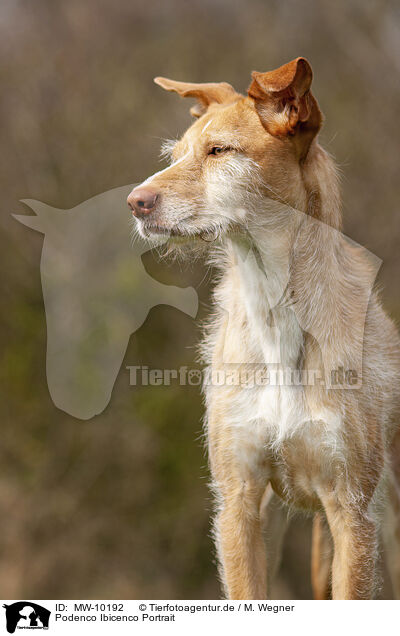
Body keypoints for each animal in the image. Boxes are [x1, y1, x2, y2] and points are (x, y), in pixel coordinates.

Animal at [127, 57, 400, 600]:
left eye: (220, 151)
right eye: (176, 155)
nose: (134, 202)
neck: (275, 313)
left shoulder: (353, 513)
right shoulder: (239, 504)